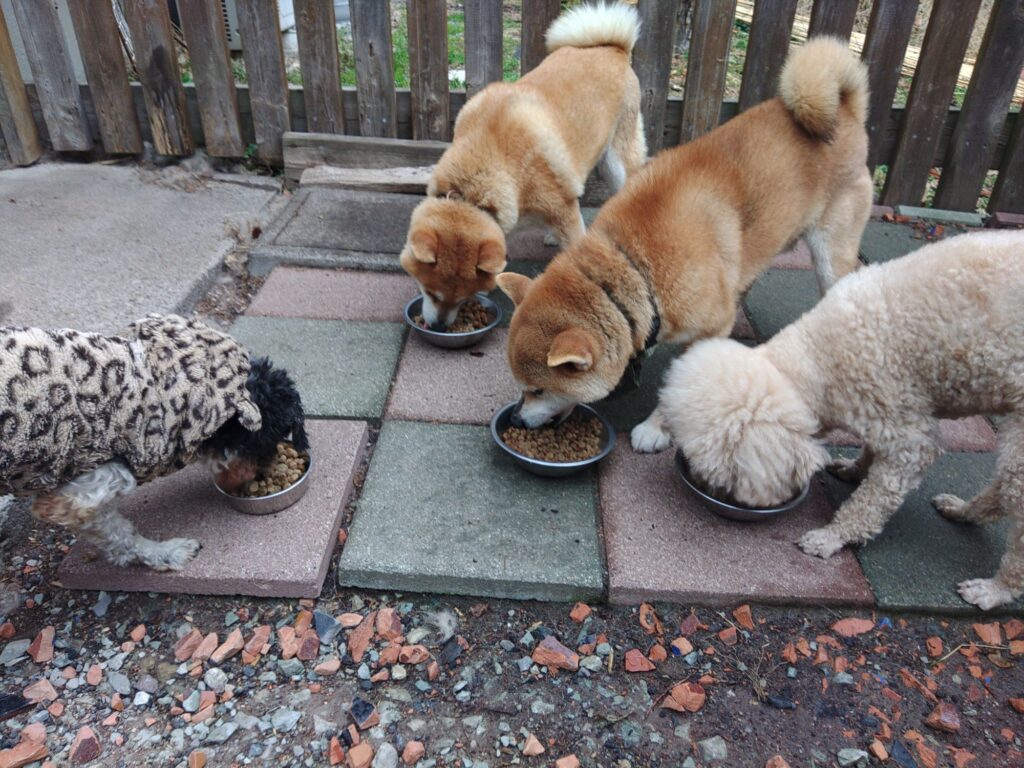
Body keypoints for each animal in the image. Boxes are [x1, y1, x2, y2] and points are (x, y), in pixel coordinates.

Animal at [401, 2, 646, 330]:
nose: (440, 326)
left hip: (616, 163)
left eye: (461, 297)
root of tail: (613, 48)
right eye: (429, 291)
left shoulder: (561, 208)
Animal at [496, 38, 872, 442]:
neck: (637, 266)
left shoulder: (707, 329)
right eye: (519, 386)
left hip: (831, 256)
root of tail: (847, 112)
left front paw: (655, 428)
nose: (517, 420)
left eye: (537, 390)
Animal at [660, 231, 1024, 610]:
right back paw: (963, 511)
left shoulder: (909, 441)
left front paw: (833, 536)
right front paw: (855, 469)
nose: (706, 489)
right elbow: (871, 454)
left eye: (722, 476)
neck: (818, 356)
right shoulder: (886, 414)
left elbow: (871, 501)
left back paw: (995, 589)